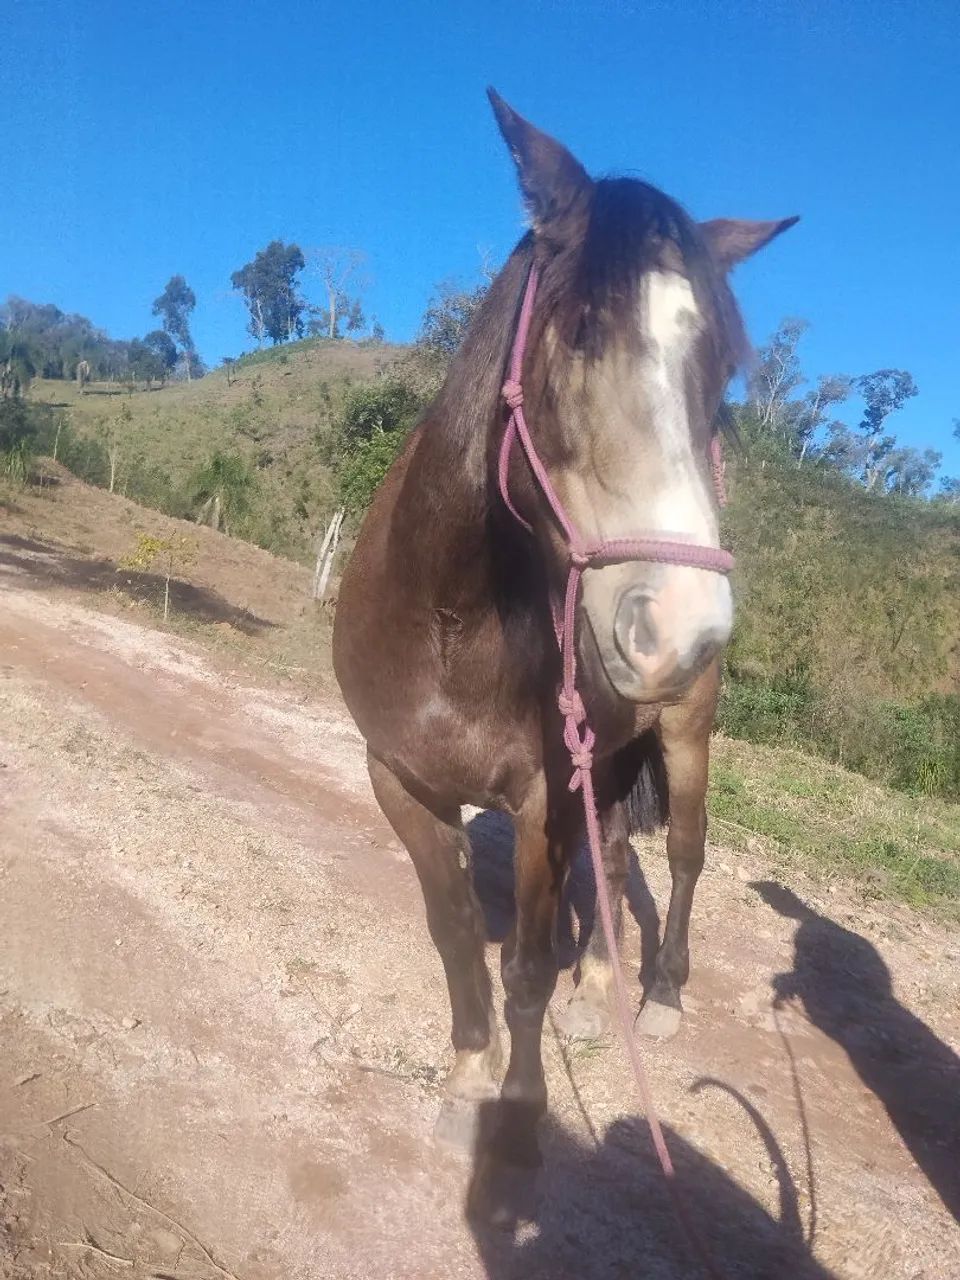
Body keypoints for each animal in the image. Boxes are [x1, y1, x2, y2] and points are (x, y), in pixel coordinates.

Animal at [333, 89, 796, 1182]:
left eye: (721, 370)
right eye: (582, 330)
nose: (684, 626)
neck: (451, 619)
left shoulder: (541, 802)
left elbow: (526, 969)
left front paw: (517, 1117)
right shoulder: (399, 779)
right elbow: (459, 936)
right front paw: (468, 1073)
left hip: (683, 734)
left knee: (682, 854)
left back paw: (659, 996)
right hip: (613, 747)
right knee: (617, 858)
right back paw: (601, 984)